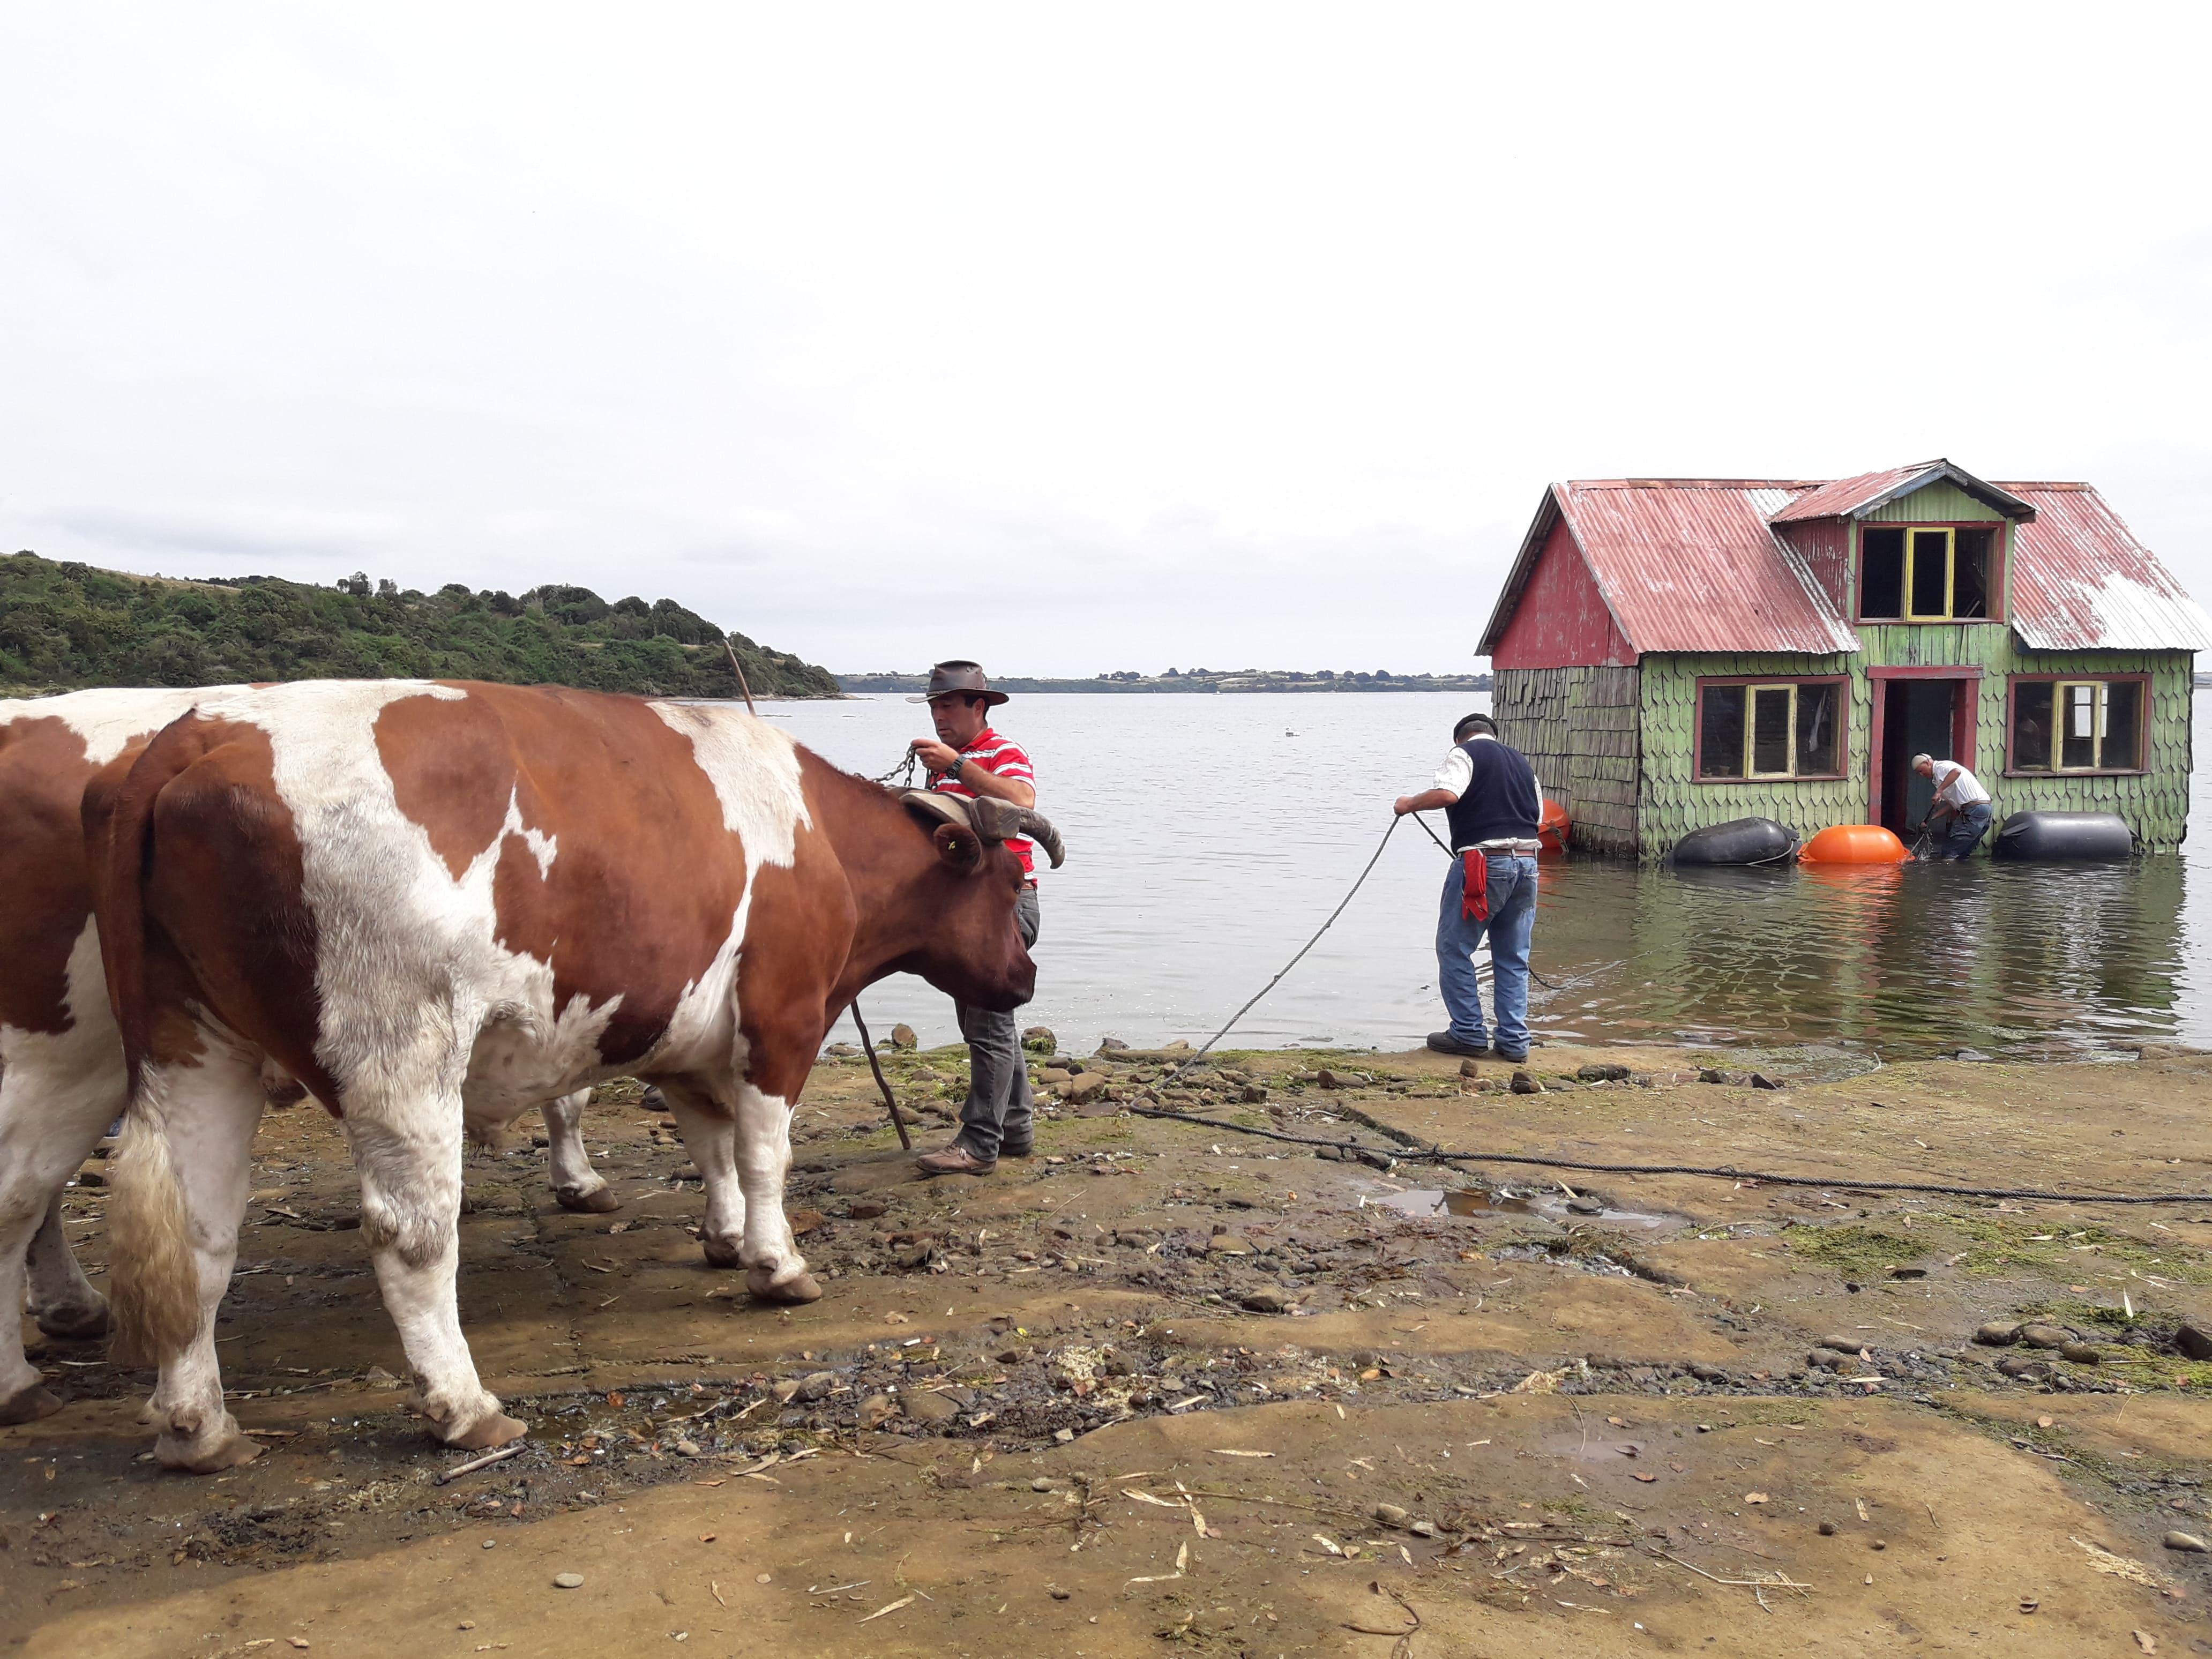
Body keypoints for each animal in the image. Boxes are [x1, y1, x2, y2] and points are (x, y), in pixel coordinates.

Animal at [86, 681, 1052, 1477]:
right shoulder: (782, 1016)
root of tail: (203, 730)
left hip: (190, 1041)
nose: (1026, 978)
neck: (819, 836)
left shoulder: (685, 1030)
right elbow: (763, 1154)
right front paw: (776, 1265)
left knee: (197, 1228)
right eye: (1009, 884)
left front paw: (724, 1237)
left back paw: (198, 1426)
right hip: (400, 1049)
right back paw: (463, 1407)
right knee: (412, 1232)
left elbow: (710, 1144)